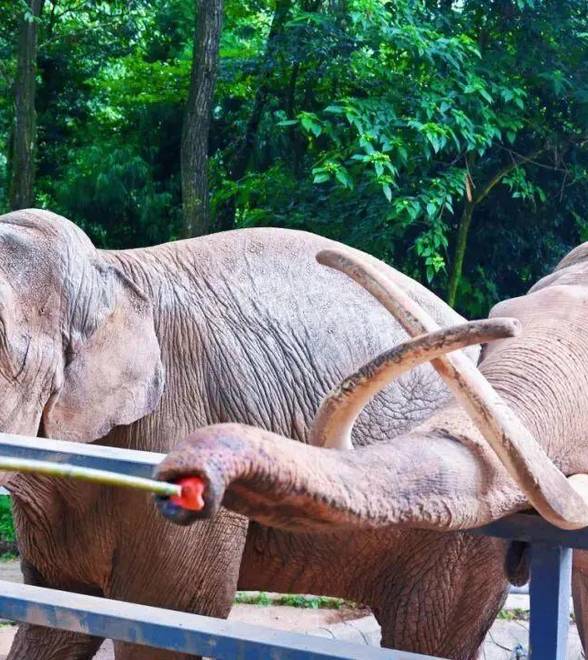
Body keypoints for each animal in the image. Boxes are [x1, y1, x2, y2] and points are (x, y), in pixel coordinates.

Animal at [0, 208, 501, 660]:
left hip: (463, 533)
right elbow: (57, 618)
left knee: (428, 638)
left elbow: (166, 616)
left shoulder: (180, 425)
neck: (110, 271)